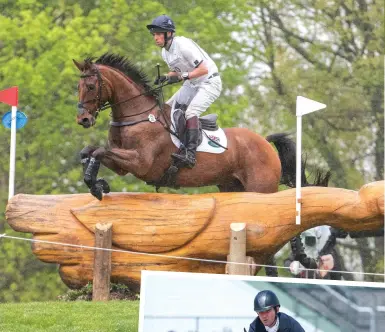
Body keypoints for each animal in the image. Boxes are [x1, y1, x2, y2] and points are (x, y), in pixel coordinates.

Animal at [73, 53, 326, 200]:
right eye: (79, 86)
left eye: (92, 87)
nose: (83, 120)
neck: (138, 116)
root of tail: (264, 141)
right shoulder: (123, 165)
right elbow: (90, 150)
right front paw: (95, 182)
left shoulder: (140, 162)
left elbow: (98, 151)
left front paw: (95, 185)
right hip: (231, 186)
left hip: (260, 188)